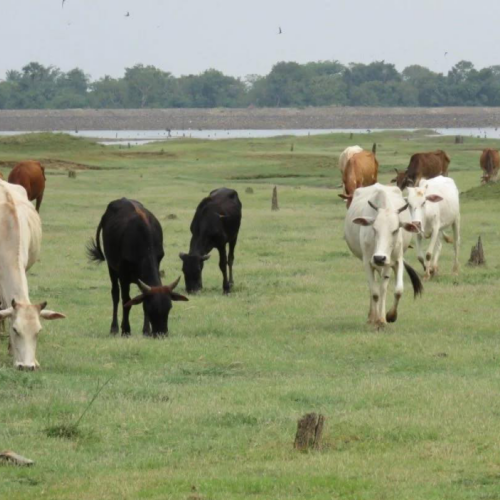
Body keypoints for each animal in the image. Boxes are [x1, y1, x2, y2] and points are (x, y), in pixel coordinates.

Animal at [86, 198, 188, 336]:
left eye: (169, 307)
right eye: (151, 308)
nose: (161, 334)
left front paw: (146, 330)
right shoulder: (123, 276)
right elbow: (126, 301)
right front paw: (126, 330)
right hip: (111, 267)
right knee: (115, 294)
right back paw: (114, 328)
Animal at [344, 182, 422, 326]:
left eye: (395, 230)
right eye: (374, 229)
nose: (379, 258)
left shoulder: (396, 260)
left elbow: (397, 290)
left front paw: (389, 316)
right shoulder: (368, 262)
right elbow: (375, 293)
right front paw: (375, 320)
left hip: (386, 265)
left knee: (383, 288)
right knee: (374, 287)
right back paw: (372, 317)